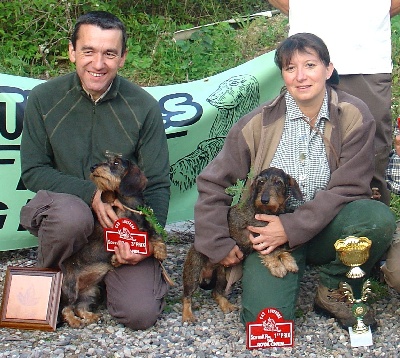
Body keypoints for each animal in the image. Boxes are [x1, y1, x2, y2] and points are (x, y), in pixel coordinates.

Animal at [60, 155, 166, 328]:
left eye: (116, 162)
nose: (93, 167)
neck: (128, 205)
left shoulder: (143, 222)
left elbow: (153, 232)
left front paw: (160, 250)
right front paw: (116, 258)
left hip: (91, 291)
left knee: (80, 307)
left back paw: (91, 317)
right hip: (70, 289)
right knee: (66, 308)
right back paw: (74, 321)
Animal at [182, 166, 304, 324]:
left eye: (278, 182)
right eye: (261, 182)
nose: (264, 200)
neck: (268, 212)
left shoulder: (273, 236)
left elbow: (280, 249)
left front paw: (289, 262)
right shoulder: (259, 236)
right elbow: (271, 252)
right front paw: (277, 267)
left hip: (222, 276)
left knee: (216, 293)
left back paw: (226, 305)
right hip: (194, 273)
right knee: (186, 297)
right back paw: (187, 315)